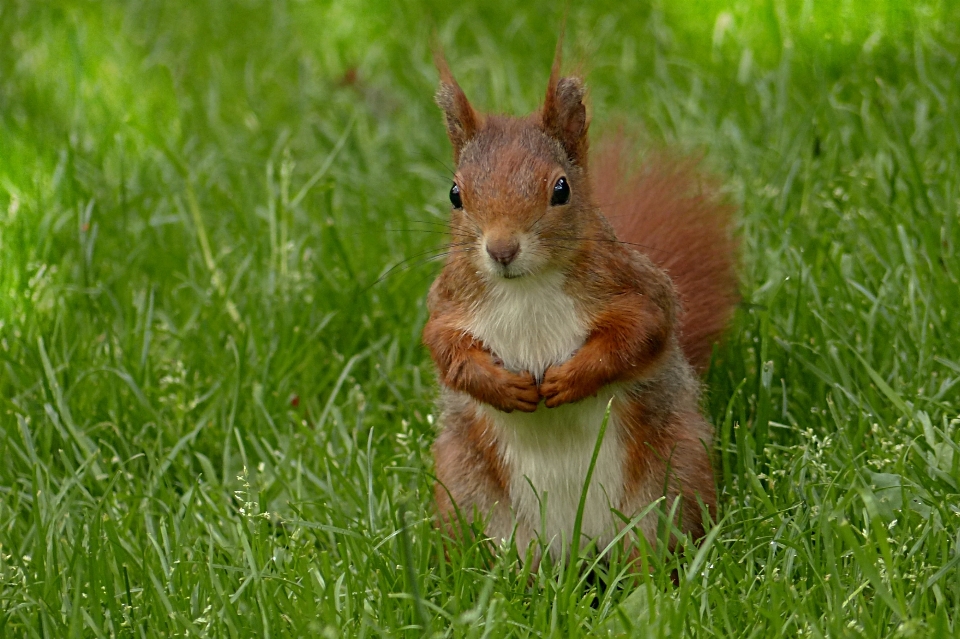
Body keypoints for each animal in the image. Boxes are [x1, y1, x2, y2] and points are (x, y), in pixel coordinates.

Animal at [424, 48, 740, 564]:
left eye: (561, 189)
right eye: (455, 194)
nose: (501, 249)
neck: (525, 288)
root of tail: (577, 548)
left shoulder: (634, 287)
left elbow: (640, 333)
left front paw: (569, 379)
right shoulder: (448, 304)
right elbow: (446, 351)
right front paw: (503, 387)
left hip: (671, 481)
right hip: (470, 494)